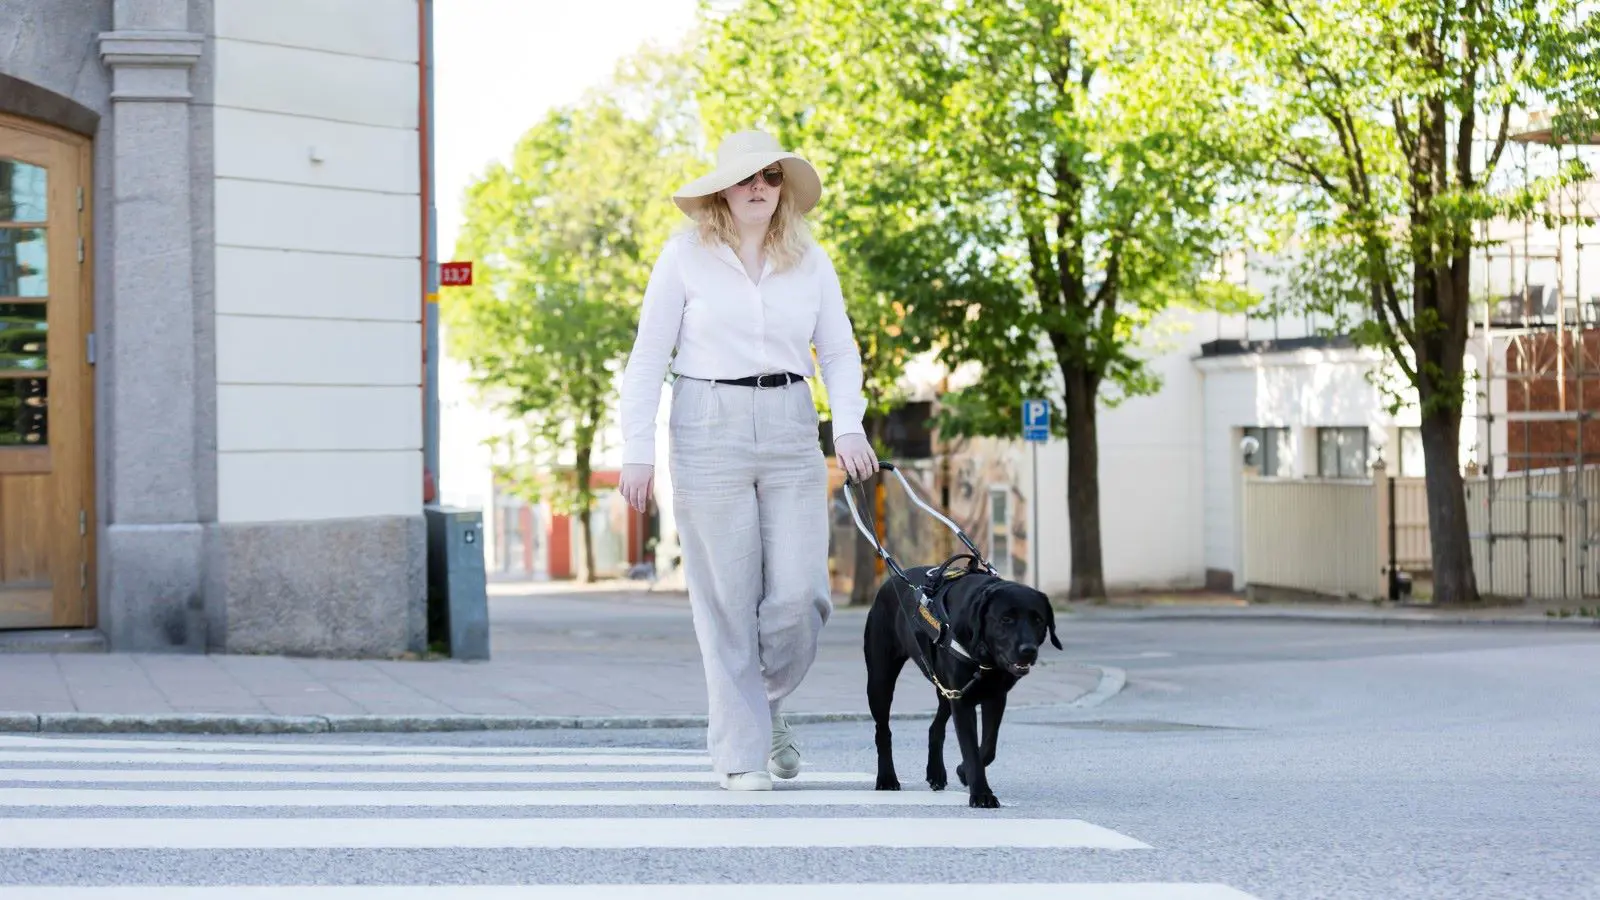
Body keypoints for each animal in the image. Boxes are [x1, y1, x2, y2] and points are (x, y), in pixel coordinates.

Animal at [864, 560, 1062, 807]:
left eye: (1038, 620)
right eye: (1006, 619)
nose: (1028, 650)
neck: (985, 657)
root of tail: (891, 581)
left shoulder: (993, 696)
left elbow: (987, 748)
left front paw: (963, 771)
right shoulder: (963, 701)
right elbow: (971, 749)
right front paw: (982, 794)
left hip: (945, 690)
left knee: (935, 727)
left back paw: (936, 773)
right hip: (880, 681)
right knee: (883, 731)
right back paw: (887, 778)